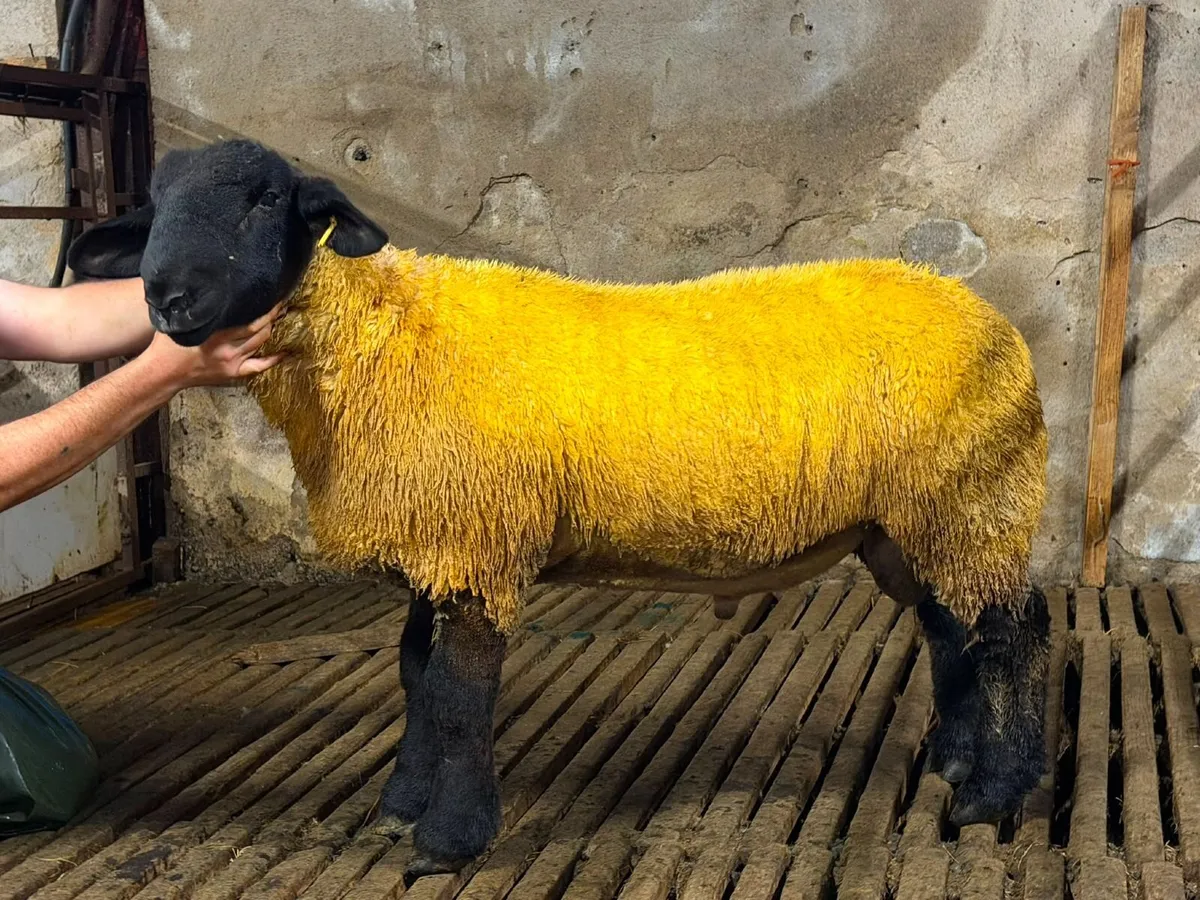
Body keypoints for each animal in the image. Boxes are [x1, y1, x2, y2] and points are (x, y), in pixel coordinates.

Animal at [68, 138, 1051, 878]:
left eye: (267, 199)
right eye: (154, 206)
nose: (168, 299)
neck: (377, 344)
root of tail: (994, 321)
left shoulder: (479, 543)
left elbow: (459, 697)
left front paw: (448, 841)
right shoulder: (438, 541)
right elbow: (416, 679)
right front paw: (401, 807)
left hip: (973, 494)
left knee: (1015, 629)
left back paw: (995, 792)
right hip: (909, 523)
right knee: (950, 627)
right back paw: (955, 759)